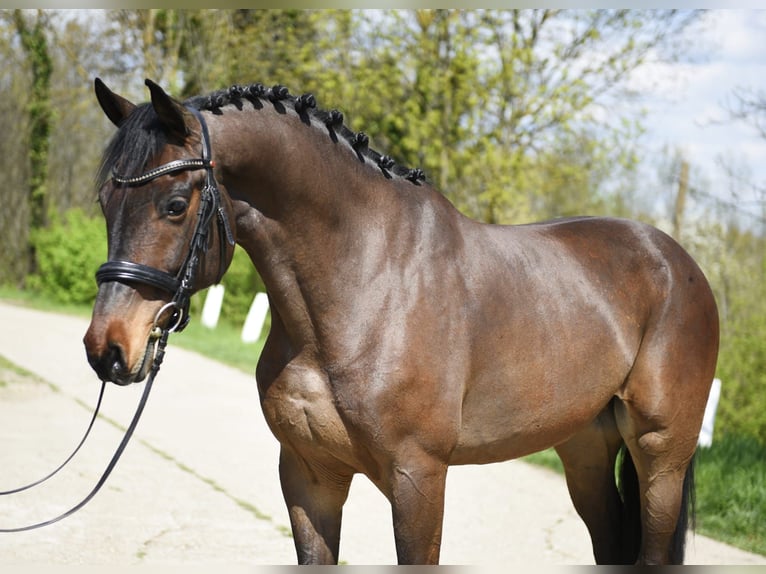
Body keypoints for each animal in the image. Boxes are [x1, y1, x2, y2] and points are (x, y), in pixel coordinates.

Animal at [83, 78, 719, 565]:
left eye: (174, 205)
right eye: (106, 204)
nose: (107, 348)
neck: (366, 285)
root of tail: (677, 261)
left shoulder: (419, 478)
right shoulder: (309, 475)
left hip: (660, 454)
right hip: (585, 448)